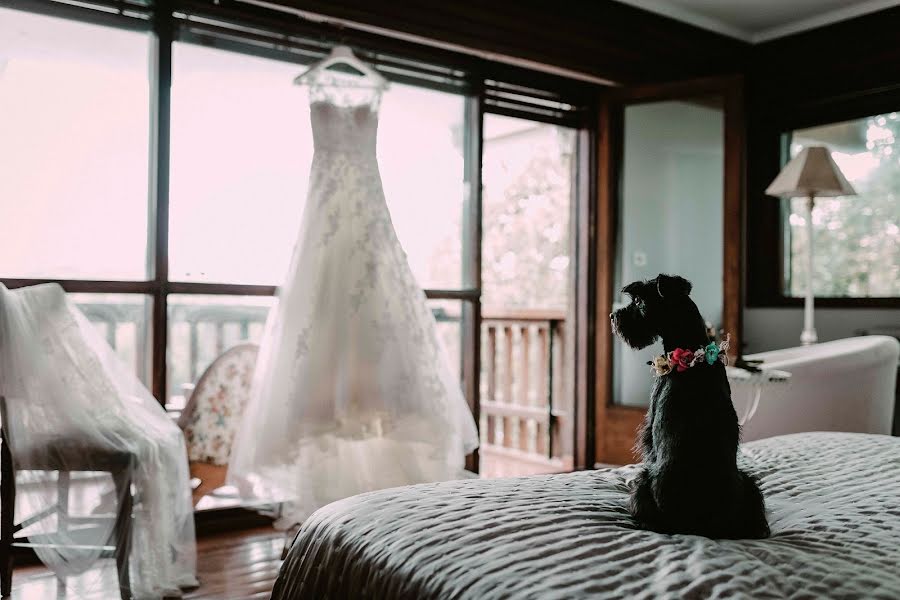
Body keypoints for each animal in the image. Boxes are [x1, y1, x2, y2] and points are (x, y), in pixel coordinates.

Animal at [616, 274, 768, 540]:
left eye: (638, 301)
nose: (613, 316)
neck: (690, 350)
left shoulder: (649, 428)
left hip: (644, 486)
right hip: (749, 484)